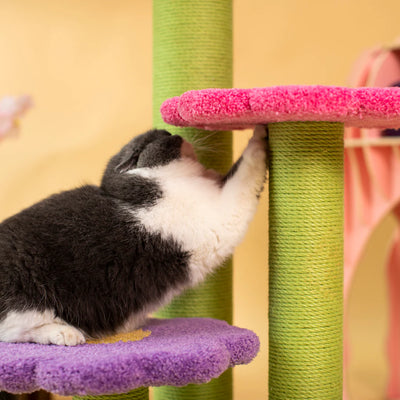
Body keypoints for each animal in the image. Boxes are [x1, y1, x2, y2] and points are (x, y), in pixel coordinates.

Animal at [0, 126, 268, 346]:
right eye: (154, 141)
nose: (171, 132)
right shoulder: (217, 218)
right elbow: (245, 172)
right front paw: (260, 132)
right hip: (24, 293)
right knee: (13, 331)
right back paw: (64, 332)